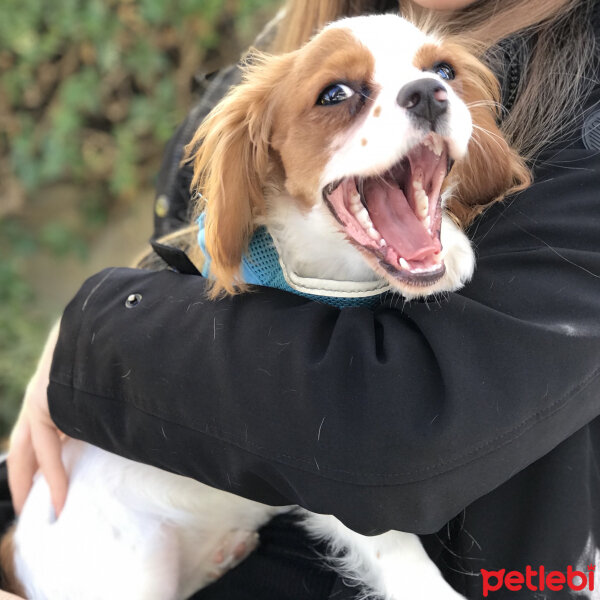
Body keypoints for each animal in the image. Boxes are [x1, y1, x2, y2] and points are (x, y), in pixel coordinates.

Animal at [0, 14, 528, 600]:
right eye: (336, 93)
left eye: (444, 70)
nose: (429, 93)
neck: (326, 277)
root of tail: (17, 547)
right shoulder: (324, 470)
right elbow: (394, 549)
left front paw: (452, 245)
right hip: (130, 575)